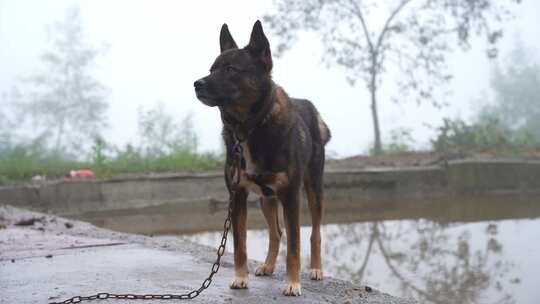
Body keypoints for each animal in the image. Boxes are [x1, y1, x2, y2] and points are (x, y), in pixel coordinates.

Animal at [194, 20, 330, 296]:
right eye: (212, 69)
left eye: (231, 69)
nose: (197, 84)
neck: (249, 128)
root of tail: (311, 108)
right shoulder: (238, 195)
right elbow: (240, 244)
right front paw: (240, 278)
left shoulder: (291, 195)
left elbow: (295, 245)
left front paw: (292, 282)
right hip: (266, 198)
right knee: (276, 232)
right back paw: (268, 265)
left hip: (313, 190)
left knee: (315, 233)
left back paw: (316, 269)